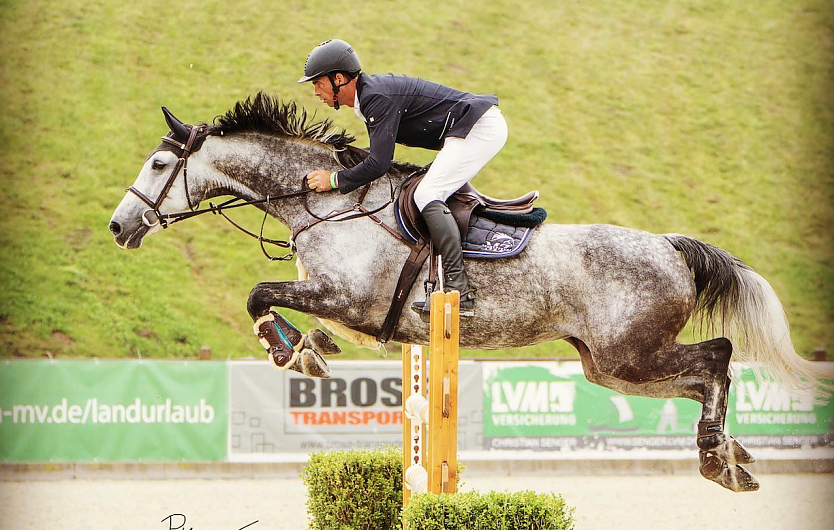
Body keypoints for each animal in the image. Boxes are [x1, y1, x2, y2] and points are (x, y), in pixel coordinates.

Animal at [109, 93, 824, 492]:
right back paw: (730, 455)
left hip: (631, 353)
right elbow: (269, 299)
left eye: (158, 163)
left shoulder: (347, 299)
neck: (326, 203)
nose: (118, 226)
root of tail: (670, 246)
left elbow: (261, 295)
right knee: (703, 373)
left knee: (720, 357)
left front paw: (294, 351)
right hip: (610, 366)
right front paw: (305, 348)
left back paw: (717, 457)